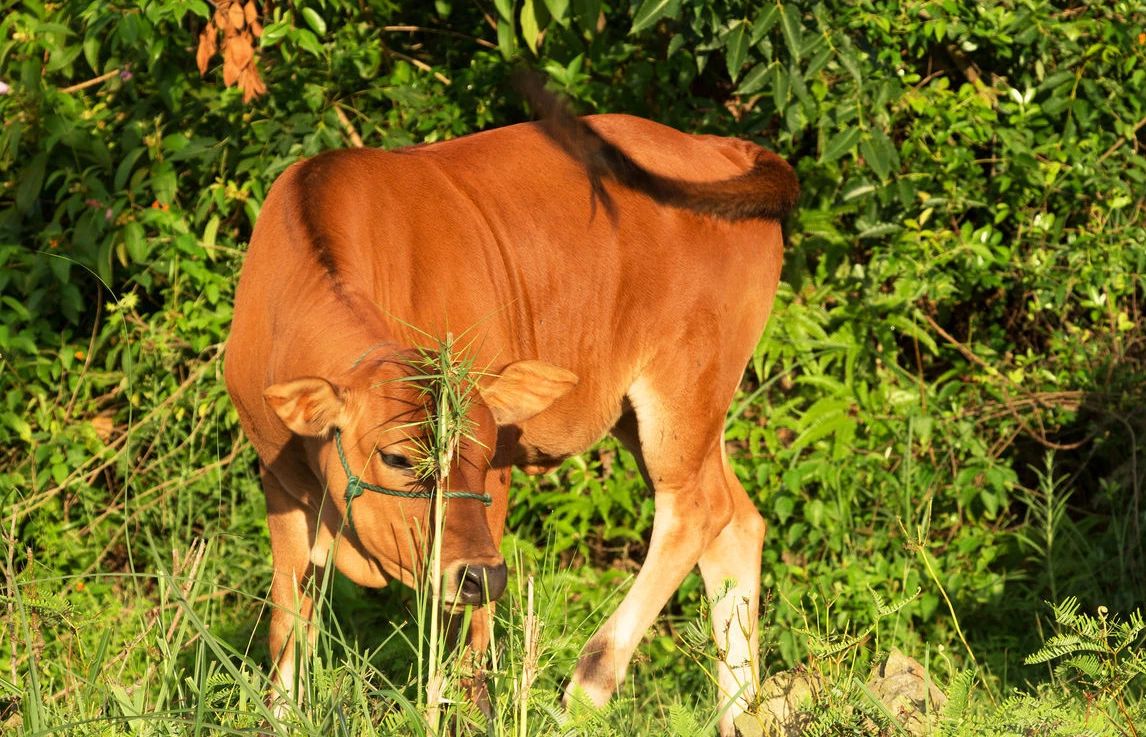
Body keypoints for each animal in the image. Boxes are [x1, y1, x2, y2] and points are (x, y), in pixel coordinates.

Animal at [223, 87, 797, 737]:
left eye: (478, 449)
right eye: (397, 457)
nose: (482, 575)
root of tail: (716, 146)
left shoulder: (492, 486)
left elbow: (466, 636)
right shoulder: (279, 478)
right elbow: (289, 619)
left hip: (685, 384)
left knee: (696, 510)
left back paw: (588, 685)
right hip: (680, 409)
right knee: (738, 520)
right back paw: (740, 714)